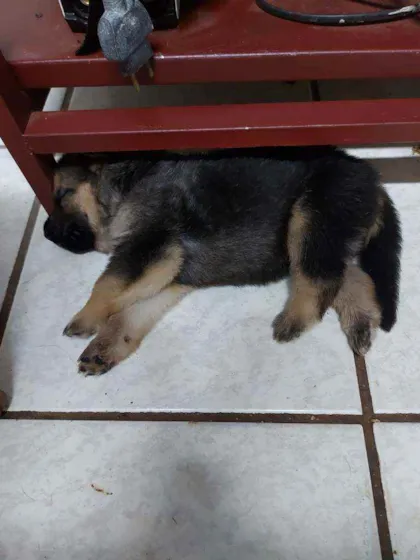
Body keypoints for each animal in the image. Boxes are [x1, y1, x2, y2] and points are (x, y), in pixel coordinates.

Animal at [44, 147, 401, 375]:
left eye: (62, 195)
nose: (46, 232)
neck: (123, 187)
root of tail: (374, 181)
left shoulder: (150, 247)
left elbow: (107, 284)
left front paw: (84, 317)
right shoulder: (168, 275)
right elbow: (128, 315)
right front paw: (105, 347)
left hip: (312, 217)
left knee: (319, 279)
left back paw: (293, 320)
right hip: (332, 235)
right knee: (350, 276)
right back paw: (360, 323)